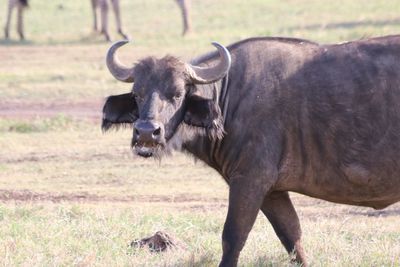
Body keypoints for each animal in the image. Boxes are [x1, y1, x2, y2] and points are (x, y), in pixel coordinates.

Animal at [101, 36, 400, 267]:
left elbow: (233, 236)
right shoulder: (273, 191)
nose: (146, 132)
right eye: (137, 94)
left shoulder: (249, 180)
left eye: (177, 94)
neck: (230, 98)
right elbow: (292, 237)